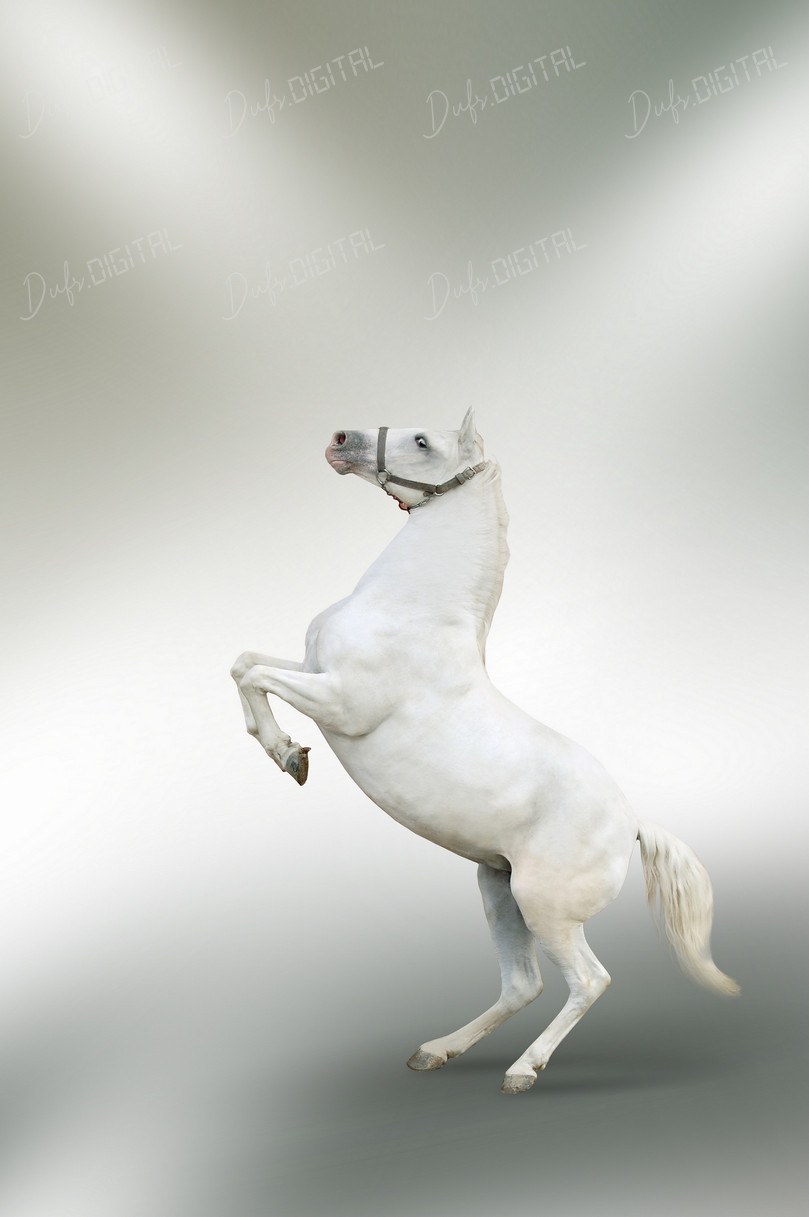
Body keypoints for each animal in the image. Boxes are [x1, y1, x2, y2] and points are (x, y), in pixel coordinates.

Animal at [231, 409, 739, 1094]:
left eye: (423, 441)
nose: (340, 442)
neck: (410, 610)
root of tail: (632, 824)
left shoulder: (340, 703)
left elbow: (255, 676)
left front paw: (291, 757)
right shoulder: (312, 669)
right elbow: (246, 662)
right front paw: (287, 754)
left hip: (547, 907)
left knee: (588, 981)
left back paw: (524, 1071)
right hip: (500, 890)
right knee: (523, 985)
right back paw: (436, 1051)